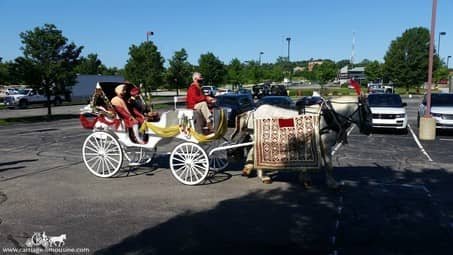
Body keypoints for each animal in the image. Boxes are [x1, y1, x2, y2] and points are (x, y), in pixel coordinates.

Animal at [233, 94, 370, 188]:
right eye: (366, 111)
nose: (369, 129)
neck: (328, 115)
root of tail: (253, 110)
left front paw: (305, 177)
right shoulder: (325, 143)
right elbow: (329, 165)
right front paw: (332, 184)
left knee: (252, 151)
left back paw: (249, 169)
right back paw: (263, 177)